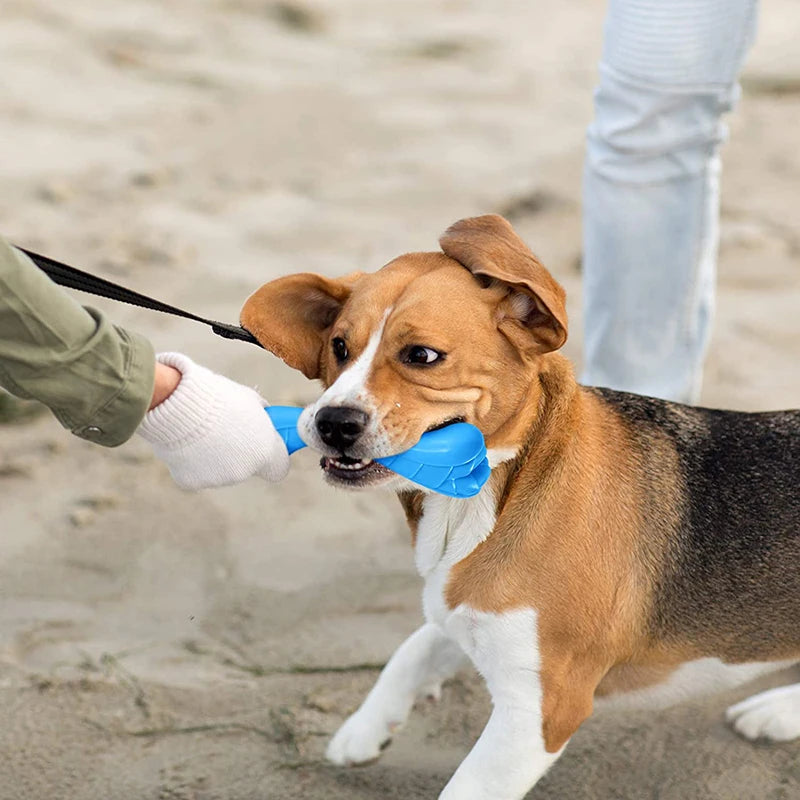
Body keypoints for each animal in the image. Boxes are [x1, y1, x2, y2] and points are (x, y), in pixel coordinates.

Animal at [239, 214, 800, 800]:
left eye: (422, 356)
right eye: (339, 346)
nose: (331, 422)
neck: (493, 495)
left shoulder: (541, 711)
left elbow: (465, 785)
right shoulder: (463, 608)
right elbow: (413, 649)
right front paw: (364, 728)